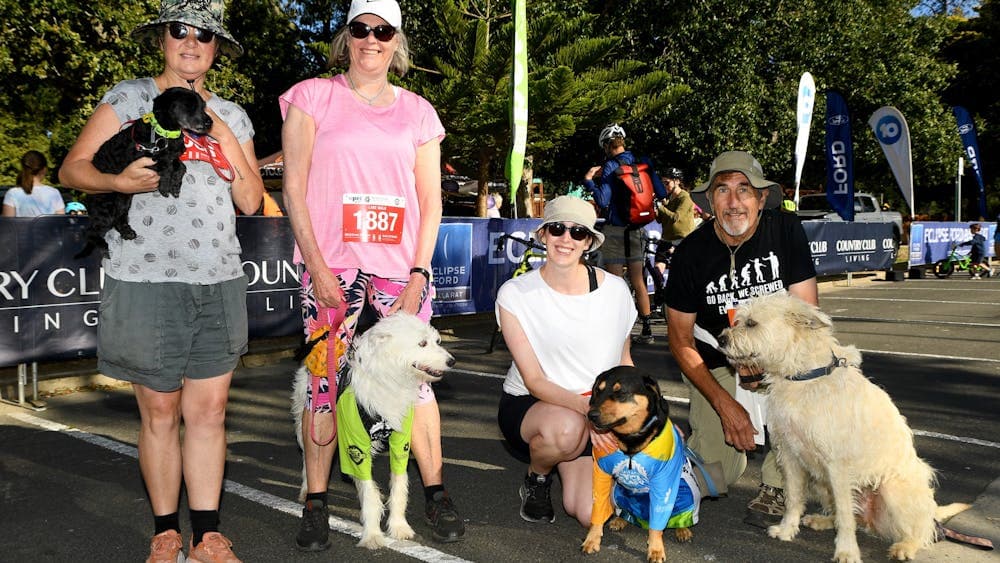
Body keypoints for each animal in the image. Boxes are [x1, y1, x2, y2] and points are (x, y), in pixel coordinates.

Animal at [82, 85, 213, 256]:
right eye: (189, 105)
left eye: (203, 106)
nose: (210, 122)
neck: (164, 133)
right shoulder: (143, 160)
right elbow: (166, 166)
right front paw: (165, 185)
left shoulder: (173, 156)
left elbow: (181, 167)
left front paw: (175, 186)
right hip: (105, 204)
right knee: (91, 231)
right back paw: (103, 246)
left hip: (123, 199)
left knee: (118, 219)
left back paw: (127, 232)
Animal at [292, 310, 456, 548]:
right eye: (422, 343)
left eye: (437, 341)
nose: (452, 361)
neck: (389, 377)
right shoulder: (355, 447)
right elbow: (370, 494)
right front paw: (372, 535)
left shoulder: (401, 442)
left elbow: (399, 486)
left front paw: (399, 527)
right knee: (308, 458)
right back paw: (307, 490)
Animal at [584, 366, 700, 563]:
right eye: (597, 391)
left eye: (621, 392)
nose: (590, 415)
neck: (630, 441)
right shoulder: (600, 473)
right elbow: (597, 508)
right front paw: (592, 539)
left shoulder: (664, 482)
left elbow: (657, 523)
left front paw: (656, 549)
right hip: (618, 491)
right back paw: (622, 519)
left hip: (686, 492)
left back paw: (683, 528)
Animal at [720, 294, 968, 560]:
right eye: (739, 320)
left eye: (752, 323)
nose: (721, 339)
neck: (803, 377)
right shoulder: (789, 456)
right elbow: (794, 498)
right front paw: (787, 530)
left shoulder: (837, 466)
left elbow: (845, 516)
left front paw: (847, 551)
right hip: (821, 482)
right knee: (852, 516)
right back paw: (820, 521)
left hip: (891, 490)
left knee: (921, 531)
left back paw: (906, 546)